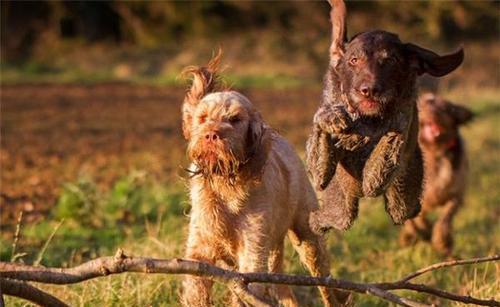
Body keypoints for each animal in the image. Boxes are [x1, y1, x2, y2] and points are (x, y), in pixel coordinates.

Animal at [180, 53, 348, 307]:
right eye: (202, 118)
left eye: (235, 119)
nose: (211, 135)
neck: (226, 185)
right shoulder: (200, 250)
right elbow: (196, 291)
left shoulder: (252, 252)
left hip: (308, 240)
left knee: (325, 286)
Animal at [400, 92, 474, 256]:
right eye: (425, 104)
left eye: (446, 109)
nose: (434, 113)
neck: (435, 152)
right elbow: (417, 217)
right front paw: (424, 229)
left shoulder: (455, 194)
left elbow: (445, 218)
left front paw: (443, 242)